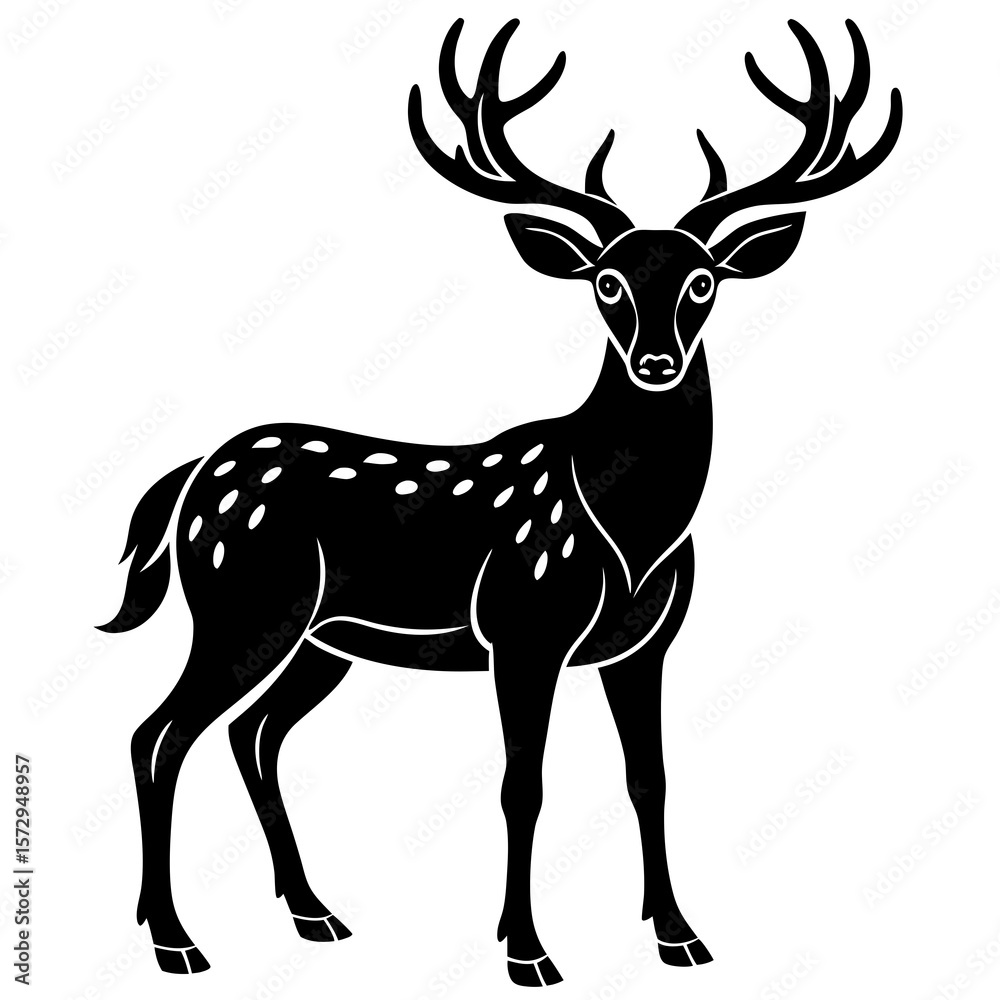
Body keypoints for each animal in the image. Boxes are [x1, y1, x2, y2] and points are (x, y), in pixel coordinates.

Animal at [98, 17, 901, 987]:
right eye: (607, 281)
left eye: (703, 279)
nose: (657, 362)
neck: (632, 531)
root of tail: (191, 477)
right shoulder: (523, 628)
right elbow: (525, 786)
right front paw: (527, 951)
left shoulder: (645, 646)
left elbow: (651, 778)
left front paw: (678, 935)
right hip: (241, 603)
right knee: (157, 734)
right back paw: (175, 940)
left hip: (319, 639)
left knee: (251, 734)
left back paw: (312, 913)